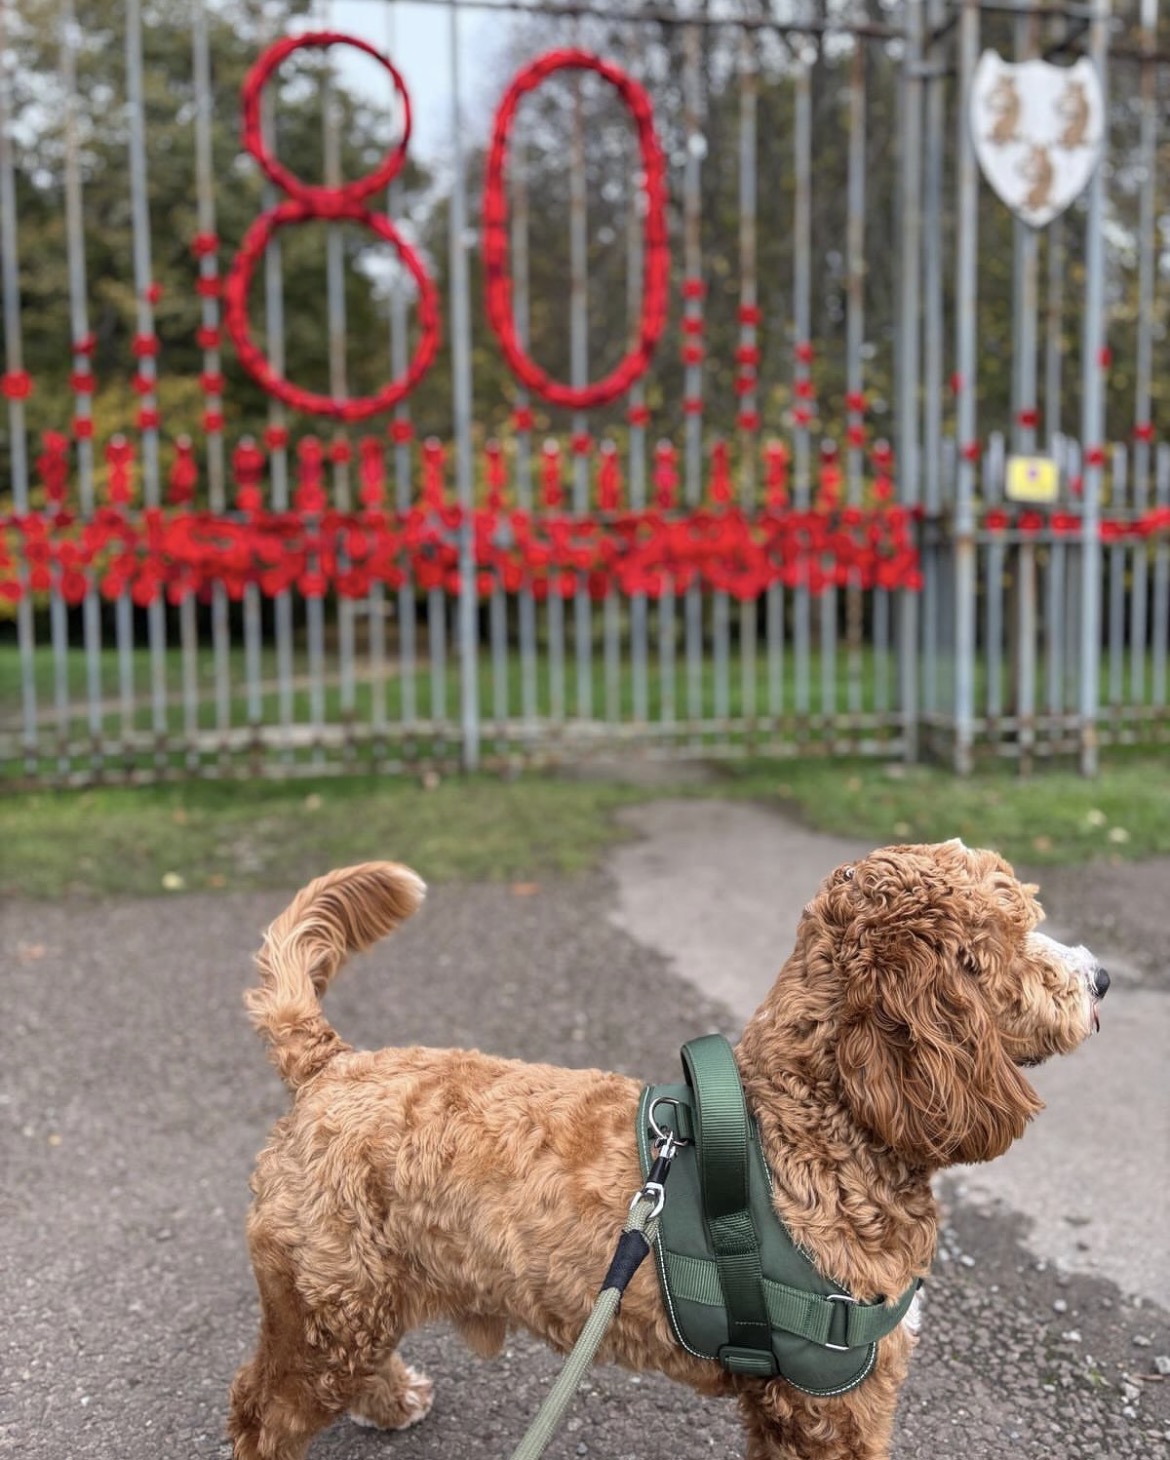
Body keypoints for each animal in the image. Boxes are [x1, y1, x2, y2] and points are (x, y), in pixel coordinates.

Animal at [228, 841, 1107, 1460]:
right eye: (1018, 935)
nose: (1101, 978)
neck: (809, 1124)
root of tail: (331, 1064)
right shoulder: (831, 1399)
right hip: (325, 1303)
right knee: (259, 1413)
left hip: (352, 1299)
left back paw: (393, 1400)